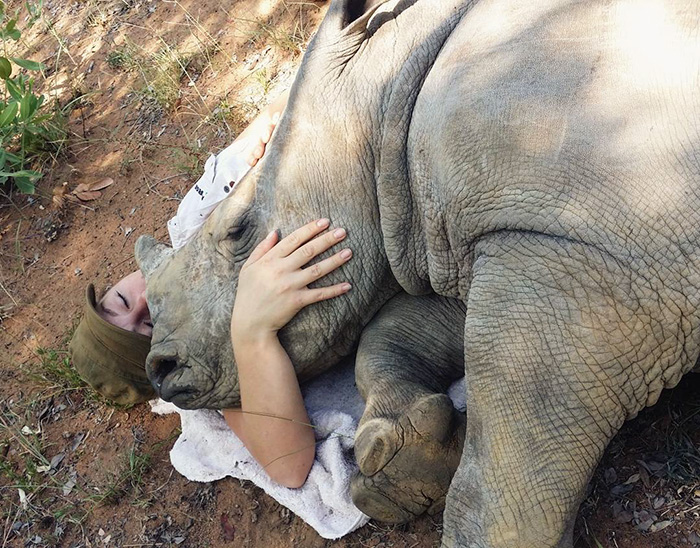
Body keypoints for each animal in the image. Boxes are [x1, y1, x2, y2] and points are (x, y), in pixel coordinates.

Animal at [135, 0, 700, 545]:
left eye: (238, 231)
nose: (160, 369)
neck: (386, 93)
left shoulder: (577, 244)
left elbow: (498, 475)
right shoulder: (486, 244)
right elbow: (394, 331)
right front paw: (405, 469)